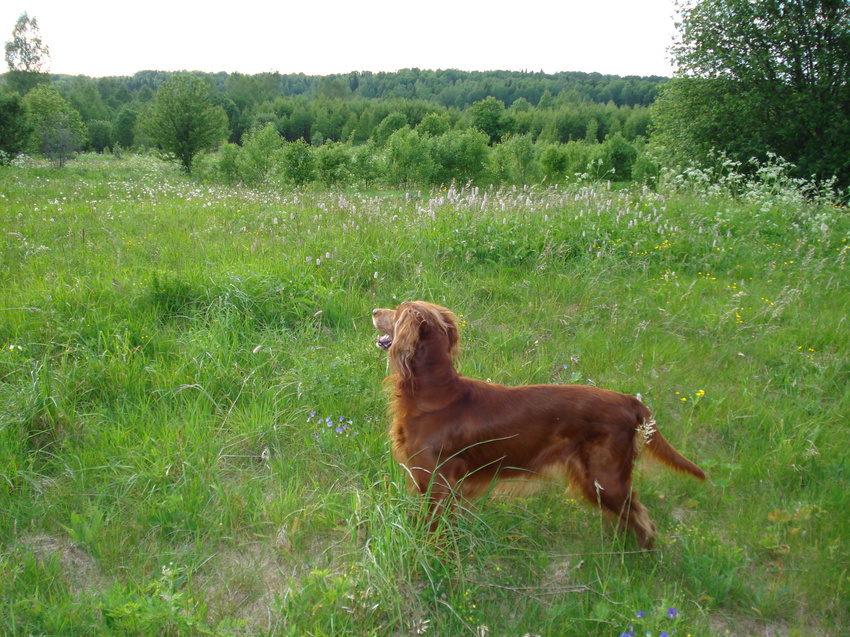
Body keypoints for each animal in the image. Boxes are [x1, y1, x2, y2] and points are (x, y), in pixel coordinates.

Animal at [372, 300, 704, 548]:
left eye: (397, 310)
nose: (374, 311)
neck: (435, 395)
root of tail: (629, 400)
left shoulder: (438, 483)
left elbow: (435, 534)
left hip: (606, 478)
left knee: (643, 521)